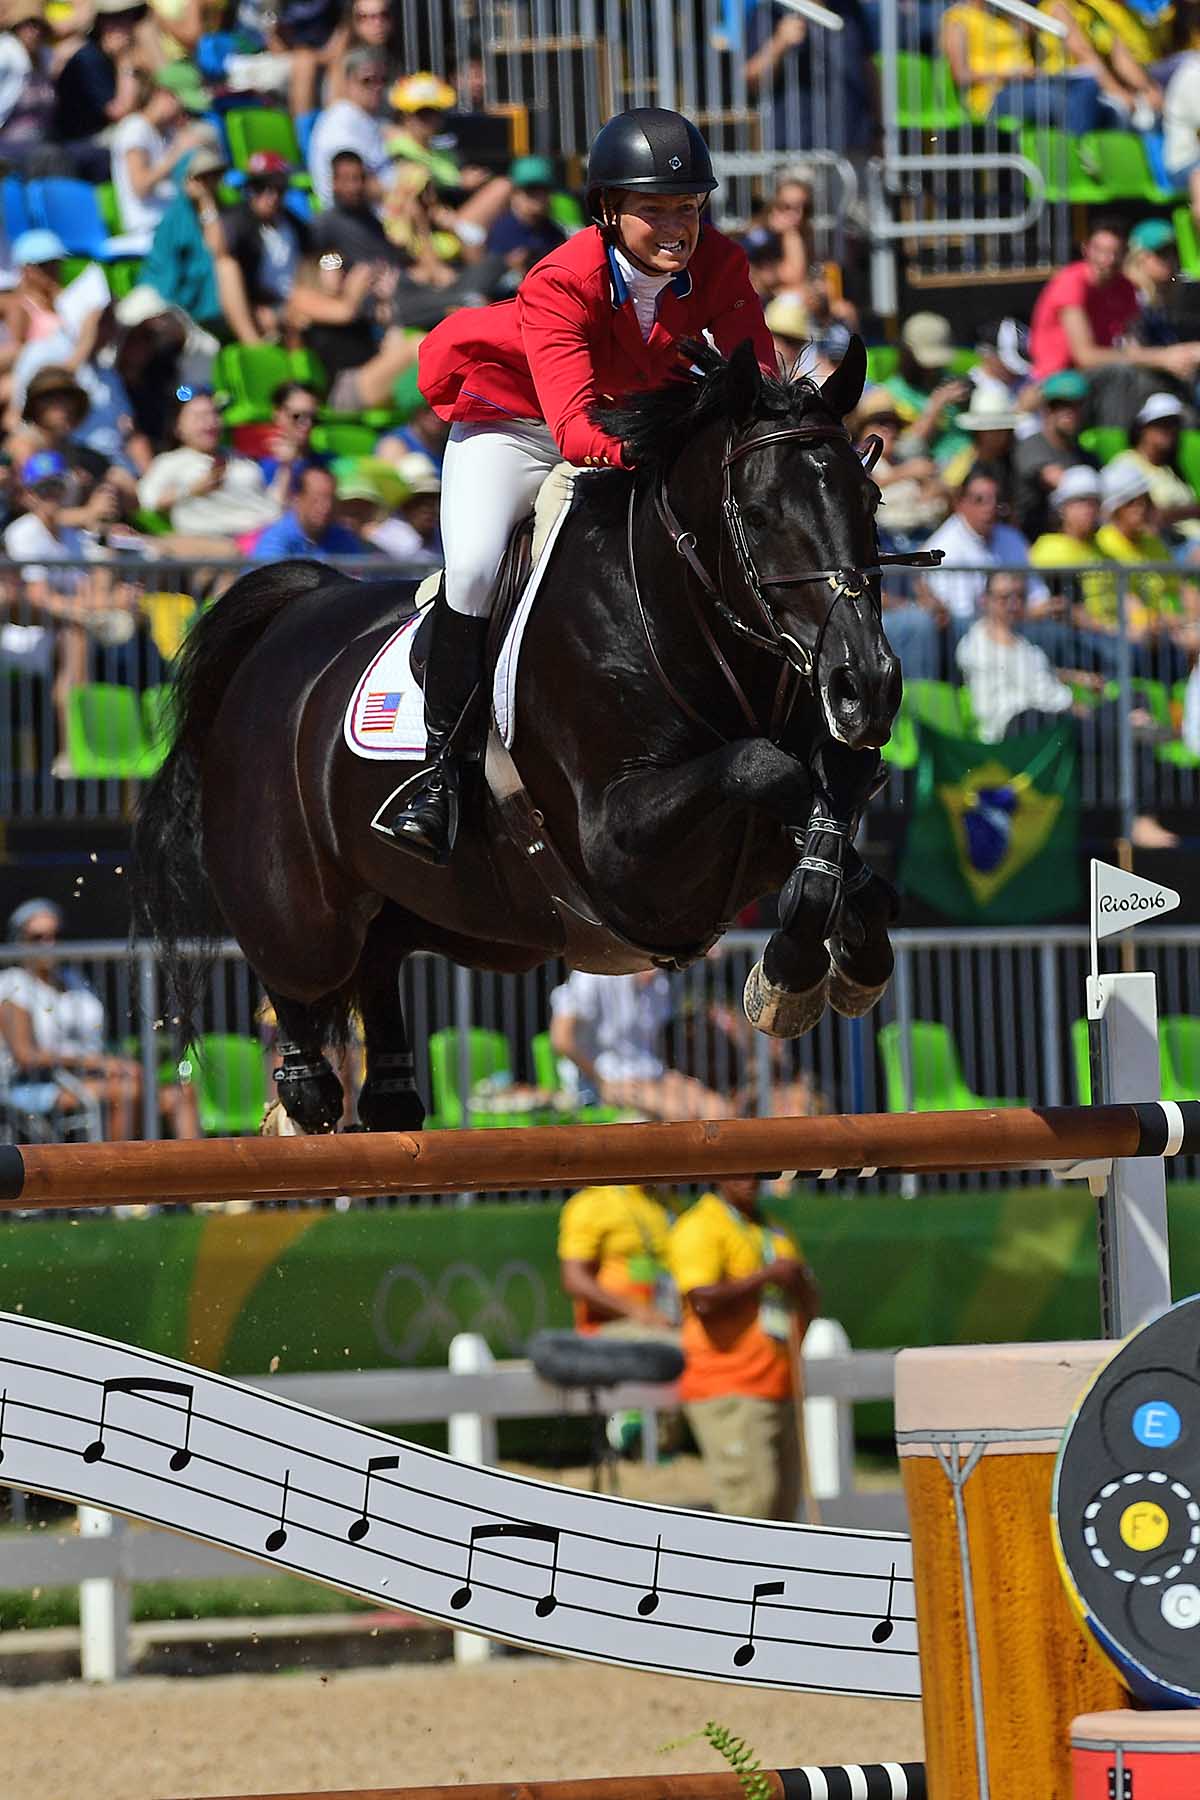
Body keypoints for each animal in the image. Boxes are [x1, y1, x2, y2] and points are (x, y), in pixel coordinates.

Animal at [135, 336, 935, 1123]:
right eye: (761, 514)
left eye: (871, 500)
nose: (868, 687)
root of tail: (290, 622)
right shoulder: (618, 849)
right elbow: (763, 769)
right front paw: (793, 968)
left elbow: (829, 811)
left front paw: (846, 941)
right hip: (301, 927)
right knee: (305, 1051)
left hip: (407, 920)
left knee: (384, 1051)